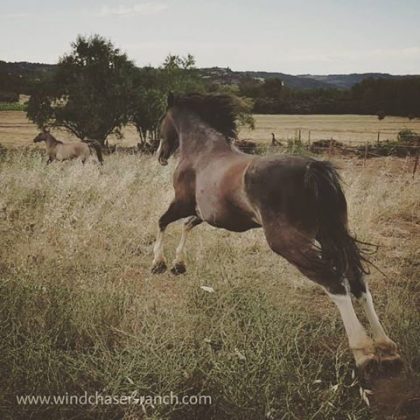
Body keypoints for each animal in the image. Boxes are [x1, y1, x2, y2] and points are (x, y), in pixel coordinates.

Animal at [153, 92, 402, 374]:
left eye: (161, 120)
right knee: (357, 279)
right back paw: (386, 348)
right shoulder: (204, 215)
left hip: (288, 243)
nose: (160, 156)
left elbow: (162, 222)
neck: (202, 152)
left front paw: (159, 263)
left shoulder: (183, 203)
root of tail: (312, 169)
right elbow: (185, 226)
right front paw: (178, 264)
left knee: (335, 283)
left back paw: (365, 353)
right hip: (329, 234)